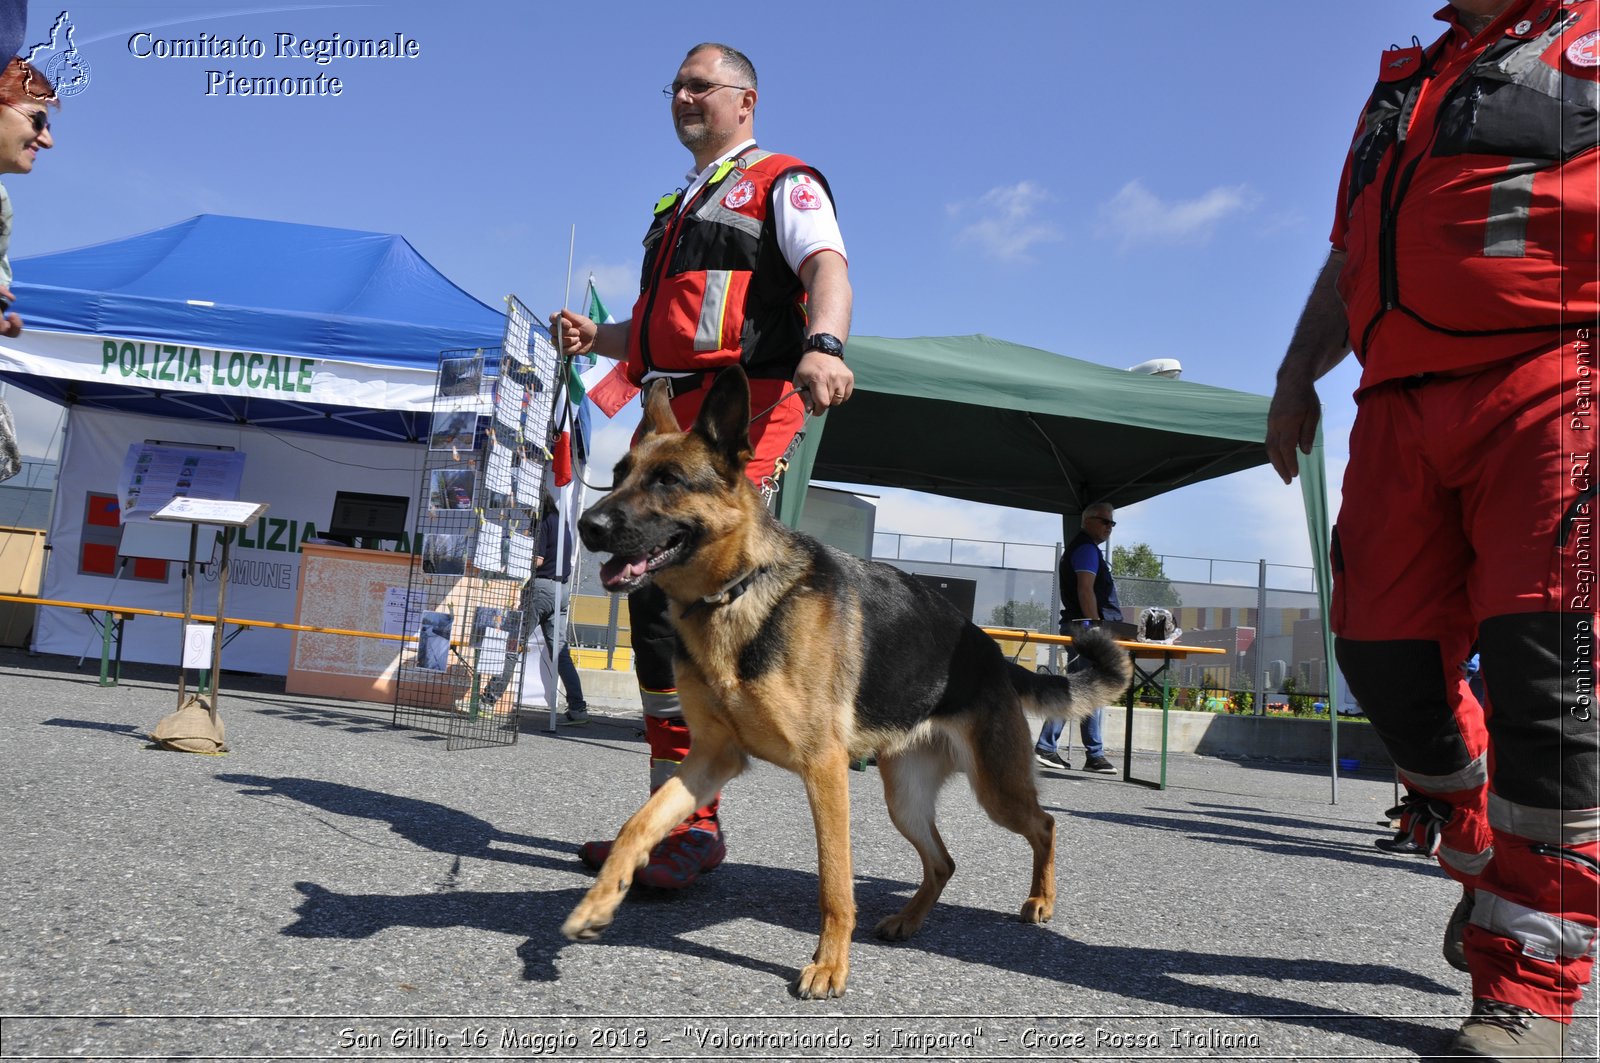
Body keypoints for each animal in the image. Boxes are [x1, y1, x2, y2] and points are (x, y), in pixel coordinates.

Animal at [556, 365, 1132, 998]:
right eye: (618, 477)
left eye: (668, 481)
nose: (588, 525)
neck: (738, 590)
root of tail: (989, 651)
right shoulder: (710, 758)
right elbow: (637, 825)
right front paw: (597, 903)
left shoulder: (824, 769)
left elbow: (835, 881)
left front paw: (830, 965)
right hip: (904, 798)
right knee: (944, 862)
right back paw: (908, 919)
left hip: (995, 789)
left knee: (1045, 825)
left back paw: (1039, 901)